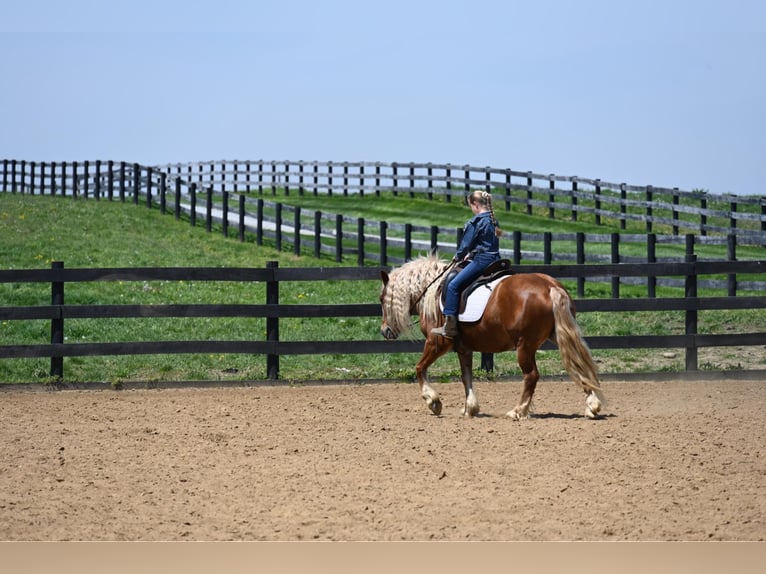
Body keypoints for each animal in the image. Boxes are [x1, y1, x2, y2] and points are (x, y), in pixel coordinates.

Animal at [378, 254, 608, 420]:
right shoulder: (464, 348)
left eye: (381, 298)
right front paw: (469, 408)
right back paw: (592, 407)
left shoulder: (437, 343)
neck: (433, 292)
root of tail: (550, 286)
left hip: (525, 346)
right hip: (559, 335)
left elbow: (419, 368)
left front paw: (433, 402)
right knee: (579, 365)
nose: (385, 331)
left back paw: (518, 411)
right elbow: (466, 376)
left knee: (531, 376)